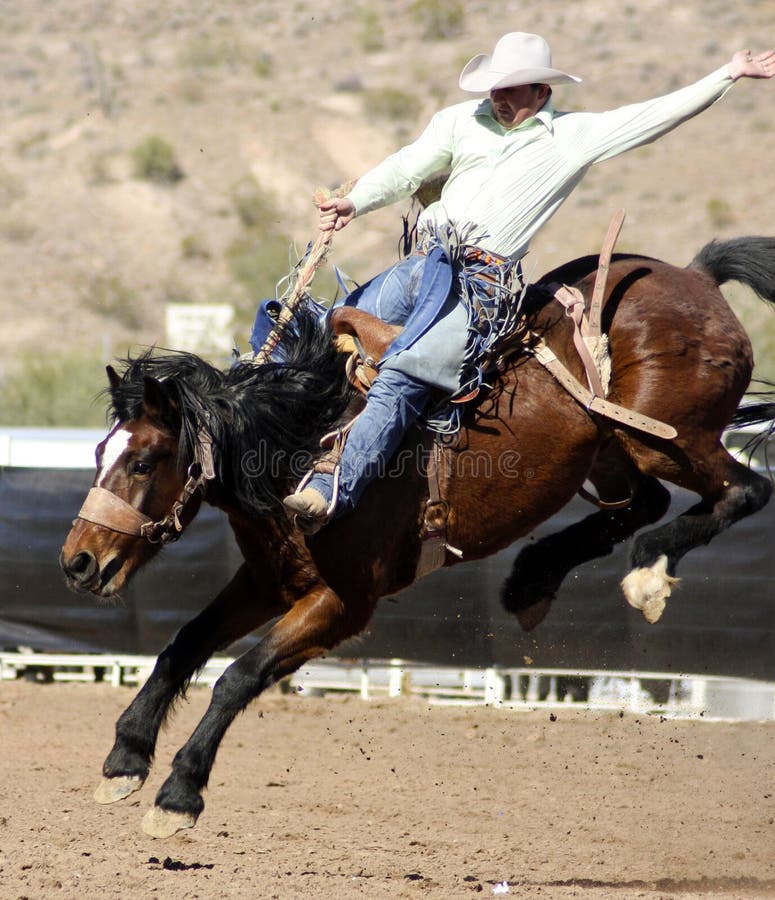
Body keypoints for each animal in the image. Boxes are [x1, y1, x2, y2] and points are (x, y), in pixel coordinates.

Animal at [59, 234, 775, 836]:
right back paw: (531, 580)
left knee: (743, 490)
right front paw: (125, 758)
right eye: (99, 452)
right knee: (645, 502)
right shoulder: (267, 581)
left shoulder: (343, 603)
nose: (78, 563)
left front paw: (178, 794)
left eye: (143, 462)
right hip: (612, 451)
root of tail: (694, 277)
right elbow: (184, 645)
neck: (303, 445)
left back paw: (646, 574)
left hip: (669, 438)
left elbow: (239, 674)